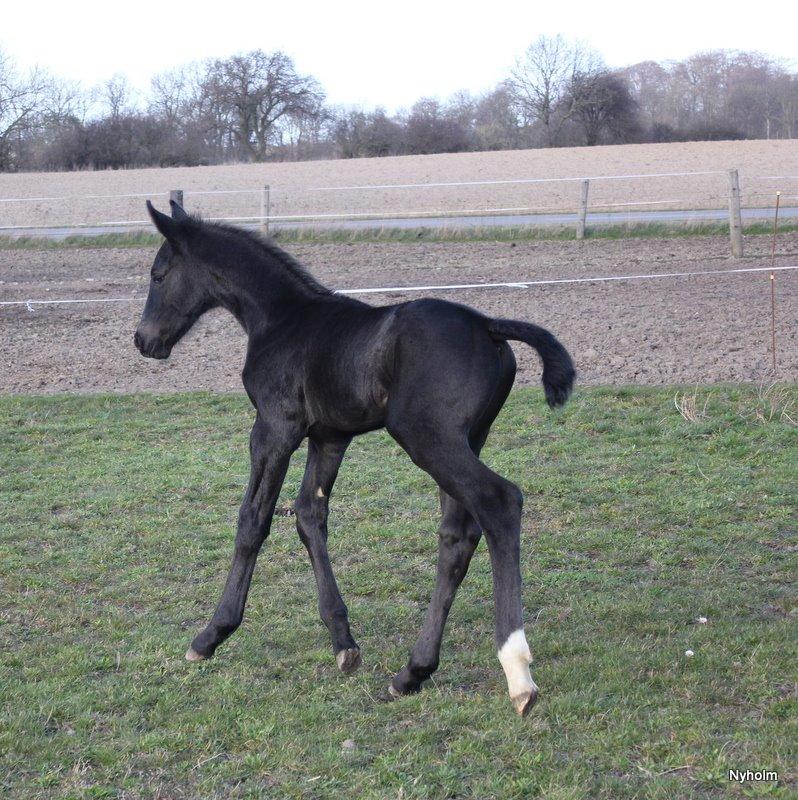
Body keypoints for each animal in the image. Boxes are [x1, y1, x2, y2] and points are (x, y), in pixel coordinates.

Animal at [136, 202, 576, 720]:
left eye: (158, 274)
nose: (143, 340)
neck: (280, 320)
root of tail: (488, 325)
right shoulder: (329, 438)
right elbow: (309, 516)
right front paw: (343, 641)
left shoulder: (274, 429)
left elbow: (253, 520)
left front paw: (211, 635)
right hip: (469, 439)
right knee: (457, 536)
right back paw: (412, 673)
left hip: (428, 439)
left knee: (500, 501)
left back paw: (517, 673)